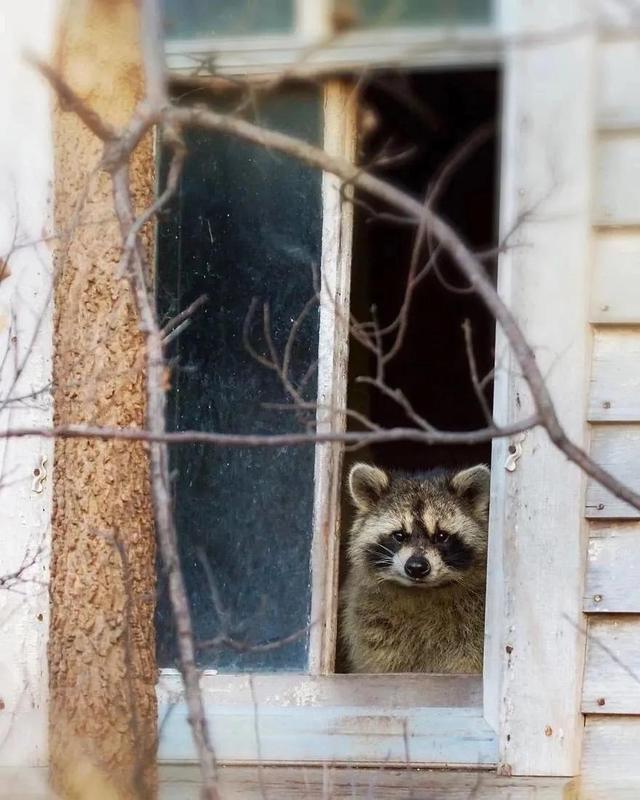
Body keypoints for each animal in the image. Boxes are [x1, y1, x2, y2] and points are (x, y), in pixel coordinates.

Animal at [340, 462, 490, 676]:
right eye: (399, 535)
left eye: (441, 536)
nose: (417, 567)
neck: (421, 591)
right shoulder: (373, 627)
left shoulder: (472, 628)